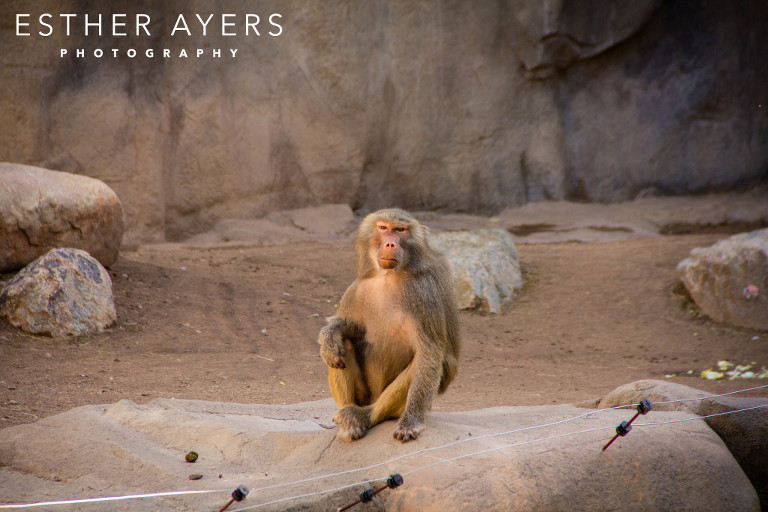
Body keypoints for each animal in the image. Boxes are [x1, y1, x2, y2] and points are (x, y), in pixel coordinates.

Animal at [318, 208, 460, 442]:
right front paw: (329, 337)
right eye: (383, 228)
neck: (388, 275)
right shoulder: (357, 288)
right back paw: (348, 419)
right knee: (343, 344)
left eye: (400, 230)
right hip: (365, 393)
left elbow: (429, 352)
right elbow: (350, 329)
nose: (390, 244)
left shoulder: (421, 292)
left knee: (427, 364)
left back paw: (366, 416)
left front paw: (411, 423)